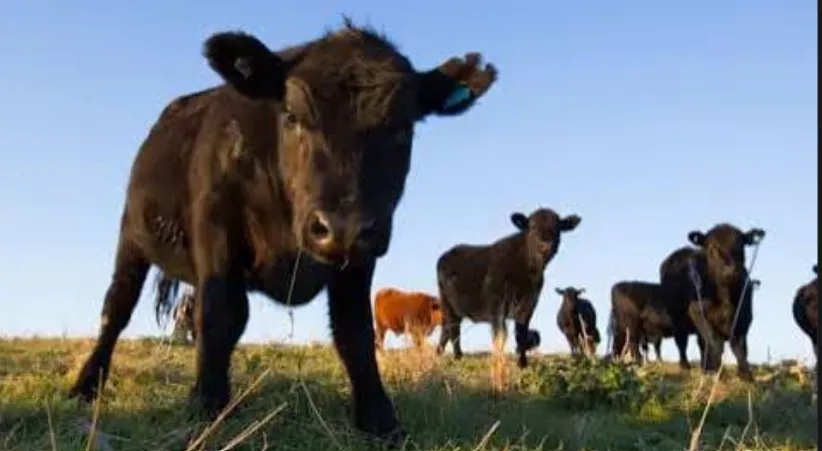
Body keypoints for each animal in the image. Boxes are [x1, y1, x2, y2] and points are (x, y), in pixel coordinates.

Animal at [67, 20, 498, 444]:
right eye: (292, 116)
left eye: (403, 130)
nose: (341, 227)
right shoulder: (216, 228)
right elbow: (220, 314)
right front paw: (206, 406)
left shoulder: (360, 257)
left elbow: (354, 332)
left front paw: (379, 420)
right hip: (132, 236)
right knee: (116, 308)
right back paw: (86, 386)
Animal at [435, 208, 581, 368]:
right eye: (532, 226)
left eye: (557, 228)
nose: (545, 245)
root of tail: (447, 254)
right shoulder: (496, 305)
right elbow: (500, 335)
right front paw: (499, 362)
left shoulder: (529, 303)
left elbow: (521, 333)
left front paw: (522, 363)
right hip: (447, 304)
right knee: (453, 329)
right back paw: (457, 357)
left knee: (447, 330)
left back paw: (441, 354)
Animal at [659, 224, 765, 380]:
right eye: (711, 247)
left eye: (741, 245)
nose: (730, 271)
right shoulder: (697, 312)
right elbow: (715, 342)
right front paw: (720, 372)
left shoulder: (744, 317)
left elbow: (740, 346)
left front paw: (745, 374)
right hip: (676, 317)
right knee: (682, 341)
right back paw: (686, 366)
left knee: (701, 344)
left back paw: (705, 368)